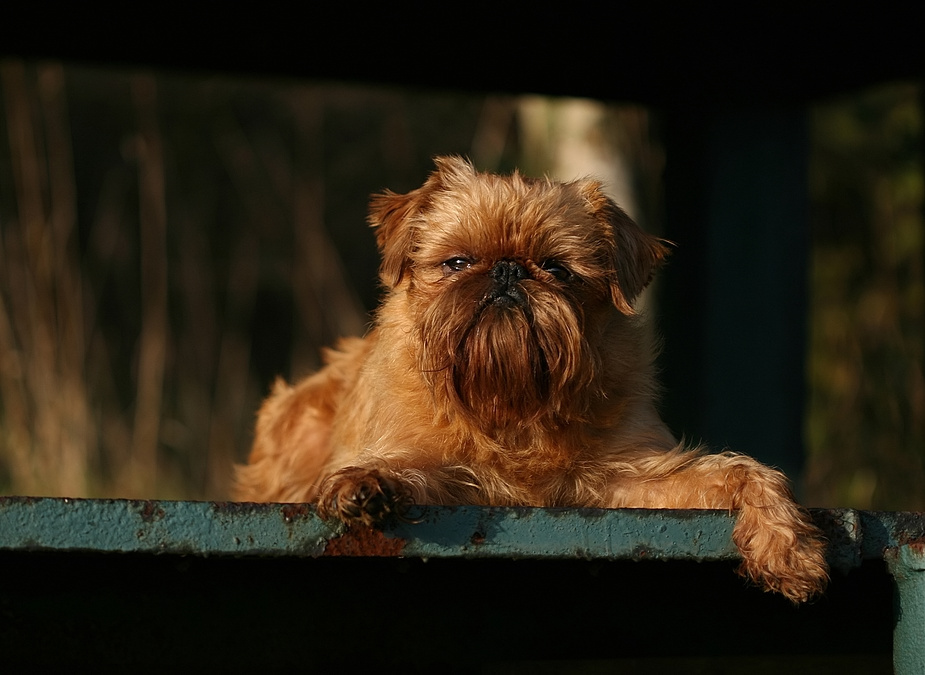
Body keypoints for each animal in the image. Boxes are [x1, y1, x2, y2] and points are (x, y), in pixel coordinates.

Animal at [235, 157, 828, 604]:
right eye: (457, 263)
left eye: (557, 269)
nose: (507, 270)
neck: (514, 402)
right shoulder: (443, 468)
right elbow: (409, 469)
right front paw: (366, 483)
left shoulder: (630, 480)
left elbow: (741, 473)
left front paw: (787, 544)